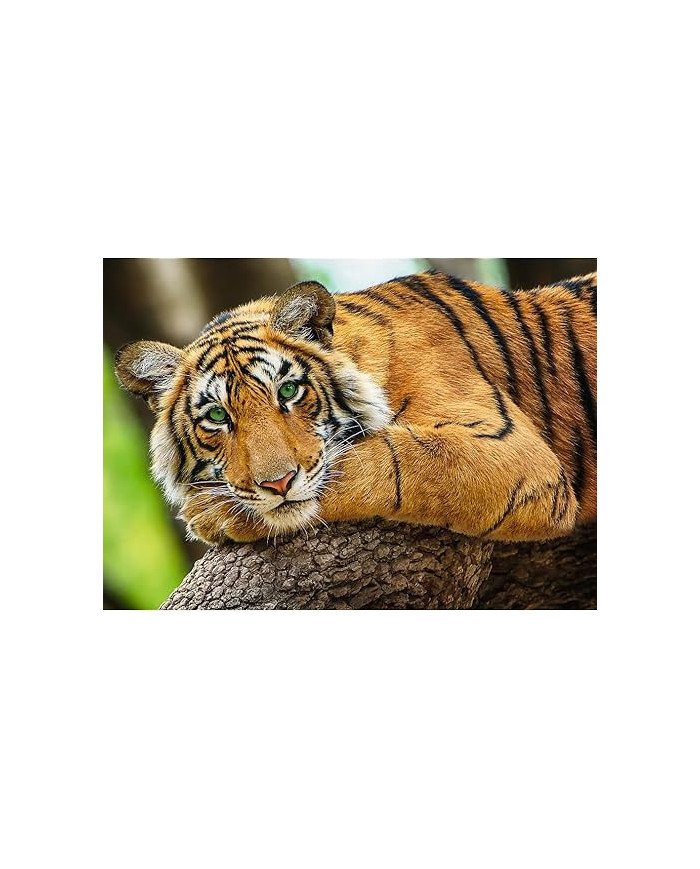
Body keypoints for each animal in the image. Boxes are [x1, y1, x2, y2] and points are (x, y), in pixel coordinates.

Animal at [114, 270, 596, 545]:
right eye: (217, 416)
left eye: (288, 390)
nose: (278, 484)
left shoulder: (514, 452)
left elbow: (387, 461)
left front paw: (211, 513)